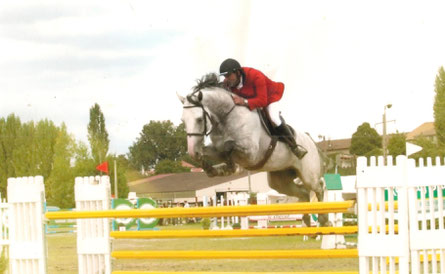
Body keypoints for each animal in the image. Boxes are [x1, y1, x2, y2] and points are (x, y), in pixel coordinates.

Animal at [178, 73, 330, 227]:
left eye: (199, 119)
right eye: (183, 120)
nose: (193, 150)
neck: (228, 118)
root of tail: (312, 142)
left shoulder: (251, 153)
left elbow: (229, 147)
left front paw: (230, 167)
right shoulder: (218, 149)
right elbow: (215, 151)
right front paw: (212, 168)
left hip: (309, 175)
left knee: (319, 187)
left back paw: (324, 219)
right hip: (279, 181)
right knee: (303, 193)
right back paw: (307, 220)